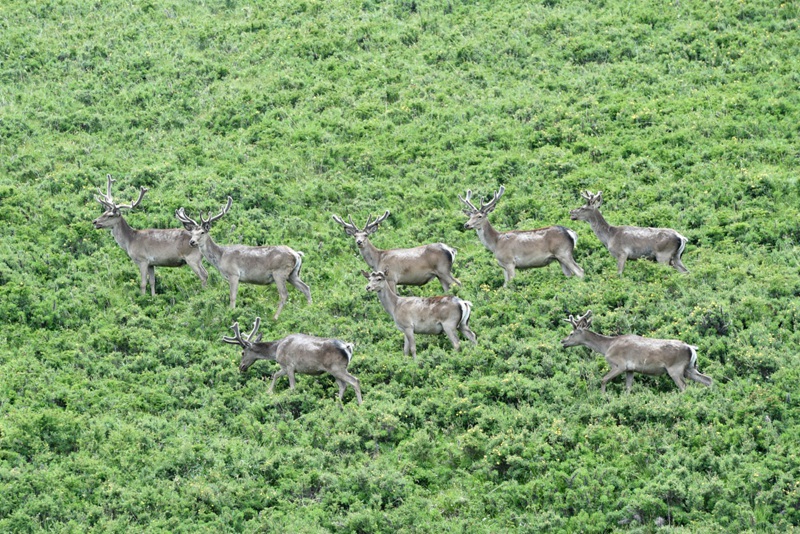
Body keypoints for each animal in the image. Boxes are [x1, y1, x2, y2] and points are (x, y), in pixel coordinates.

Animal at [175, 197, 311, 319]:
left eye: (202, 232)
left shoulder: (234, 274)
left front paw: (231, 313)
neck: (221, 257)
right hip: (293, 274)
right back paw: (309, 310)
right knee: (306, 288)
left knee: (284, 294)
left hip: (280, 272)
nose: (192, 242)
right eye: (192, 233)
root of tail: (297, 254)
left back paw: (275, 317)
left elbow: (232, 296)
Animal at [222, 317, 362, 404]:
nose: (241, 367)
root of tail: (348, 347)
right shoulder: (285, 367)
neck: (277, 350)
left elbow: (291, 386)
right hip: (334, 370)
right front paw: (269, 392)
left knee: (355, 381)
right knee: (343, 385)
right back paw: (337, 405)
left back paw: (360, 404)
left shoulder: (289, 365)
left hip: (337, 367)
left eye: (242, 353)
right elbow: (275, 375)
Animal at [332, 210, 461, 293]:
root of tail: (451, 250)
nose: (359, 242)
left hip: (443, 270)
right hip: (440, 275)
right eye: (355, 235)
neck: (378, 259)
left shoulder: (391, 278)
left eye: (366, 235)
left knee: (458, 283)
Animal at [561, 310, 713, 393]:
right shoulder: (630, 369)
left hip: (675, 368)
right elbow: (628, 388)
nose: (562, 342)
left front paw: (603, 398)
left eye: (571, 333)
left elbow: (603, 380)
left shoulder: (619, 364)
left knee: (684, 386)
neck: (607, 347)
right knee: (708, 379)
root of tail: (691, 348)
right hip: (690, 368)